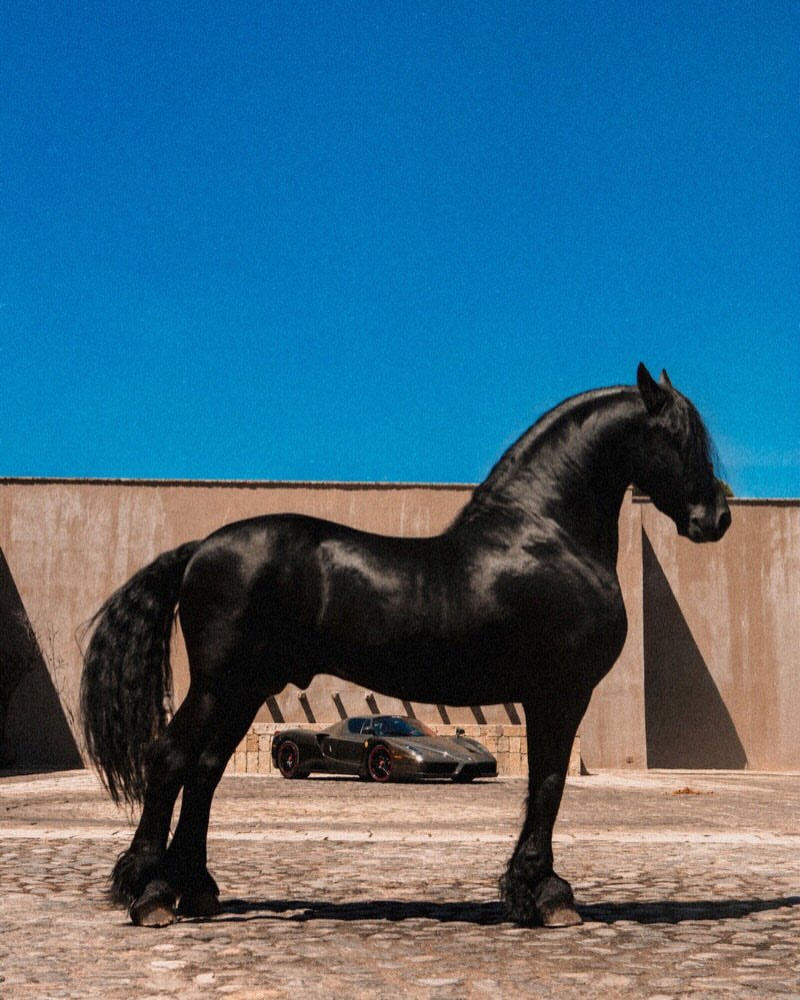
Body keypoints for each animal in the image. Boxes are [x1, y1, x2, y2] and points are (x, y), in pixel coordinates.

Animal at [80, 363, 730, 929]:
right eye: (678, 436)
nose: (716, 517)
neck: (546, 537)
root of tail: (200, 550)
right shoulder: (561, 693)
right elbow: (548, 784)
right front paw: (547, 896)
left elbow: (542, 785)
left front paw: (529, 892)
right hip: (220, 686)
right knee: (171, 759)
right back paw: (150, 895)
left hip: (242, 691)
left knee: (206, 771)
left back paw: (196, 890)